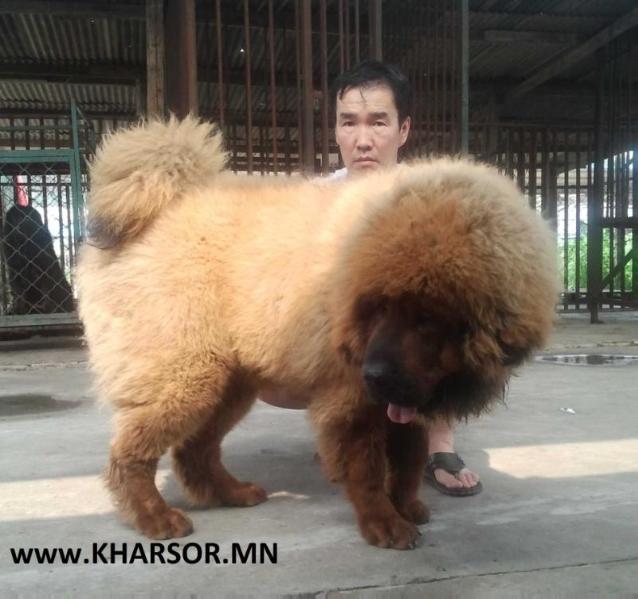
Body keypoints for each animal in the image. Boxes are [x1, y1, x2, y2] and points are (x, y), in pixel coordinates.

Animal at [79, 116, 560, 548]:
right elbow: (368, 470)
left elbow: (408, 460)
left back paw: (230, 494)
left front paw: (407, 506)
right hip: (185, 374)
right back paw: (154, 517)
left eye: (426, 318)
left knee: (194, 449)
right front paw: (385, 525)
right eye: (378, 308)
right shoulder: (351, 400)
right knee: (131, 453)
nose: (375, 373)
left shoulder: (404, 399)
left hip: (227, 383)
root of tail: (166, 205)